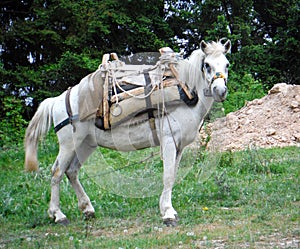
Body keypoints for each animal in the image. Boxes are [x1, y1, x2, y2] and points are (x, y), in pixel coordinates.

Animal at [24, 39, 231, 226]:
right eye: (207, 65)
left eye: (227, 64)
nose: (220, 91)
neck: (185, 91)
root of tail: (58, 99)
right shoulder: (169, 141)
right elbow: (168, 176)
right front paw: (167, 214)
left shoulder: (179, 146)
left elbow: (172, 175)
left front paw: (168, 209)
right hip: (69, 143)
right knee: (57, 172)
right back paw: (58, 214)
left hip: (85, 144)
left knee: (72, 171)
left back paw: (87, 209)